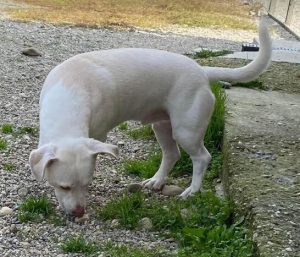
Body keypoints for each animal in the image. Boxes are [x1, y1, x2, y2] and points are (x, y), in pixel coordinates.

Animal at [29, 19, 270, 216]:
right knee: (172, 154)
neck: (71, 89)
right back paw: (157, 180)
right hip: (162, 126)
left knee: (202, 157)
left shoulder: (98, 134)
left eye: (88, 183)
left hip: (186, 130)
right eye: (64, 186)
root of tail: (202, 71)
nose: (79, 212)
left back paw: (192, 190)